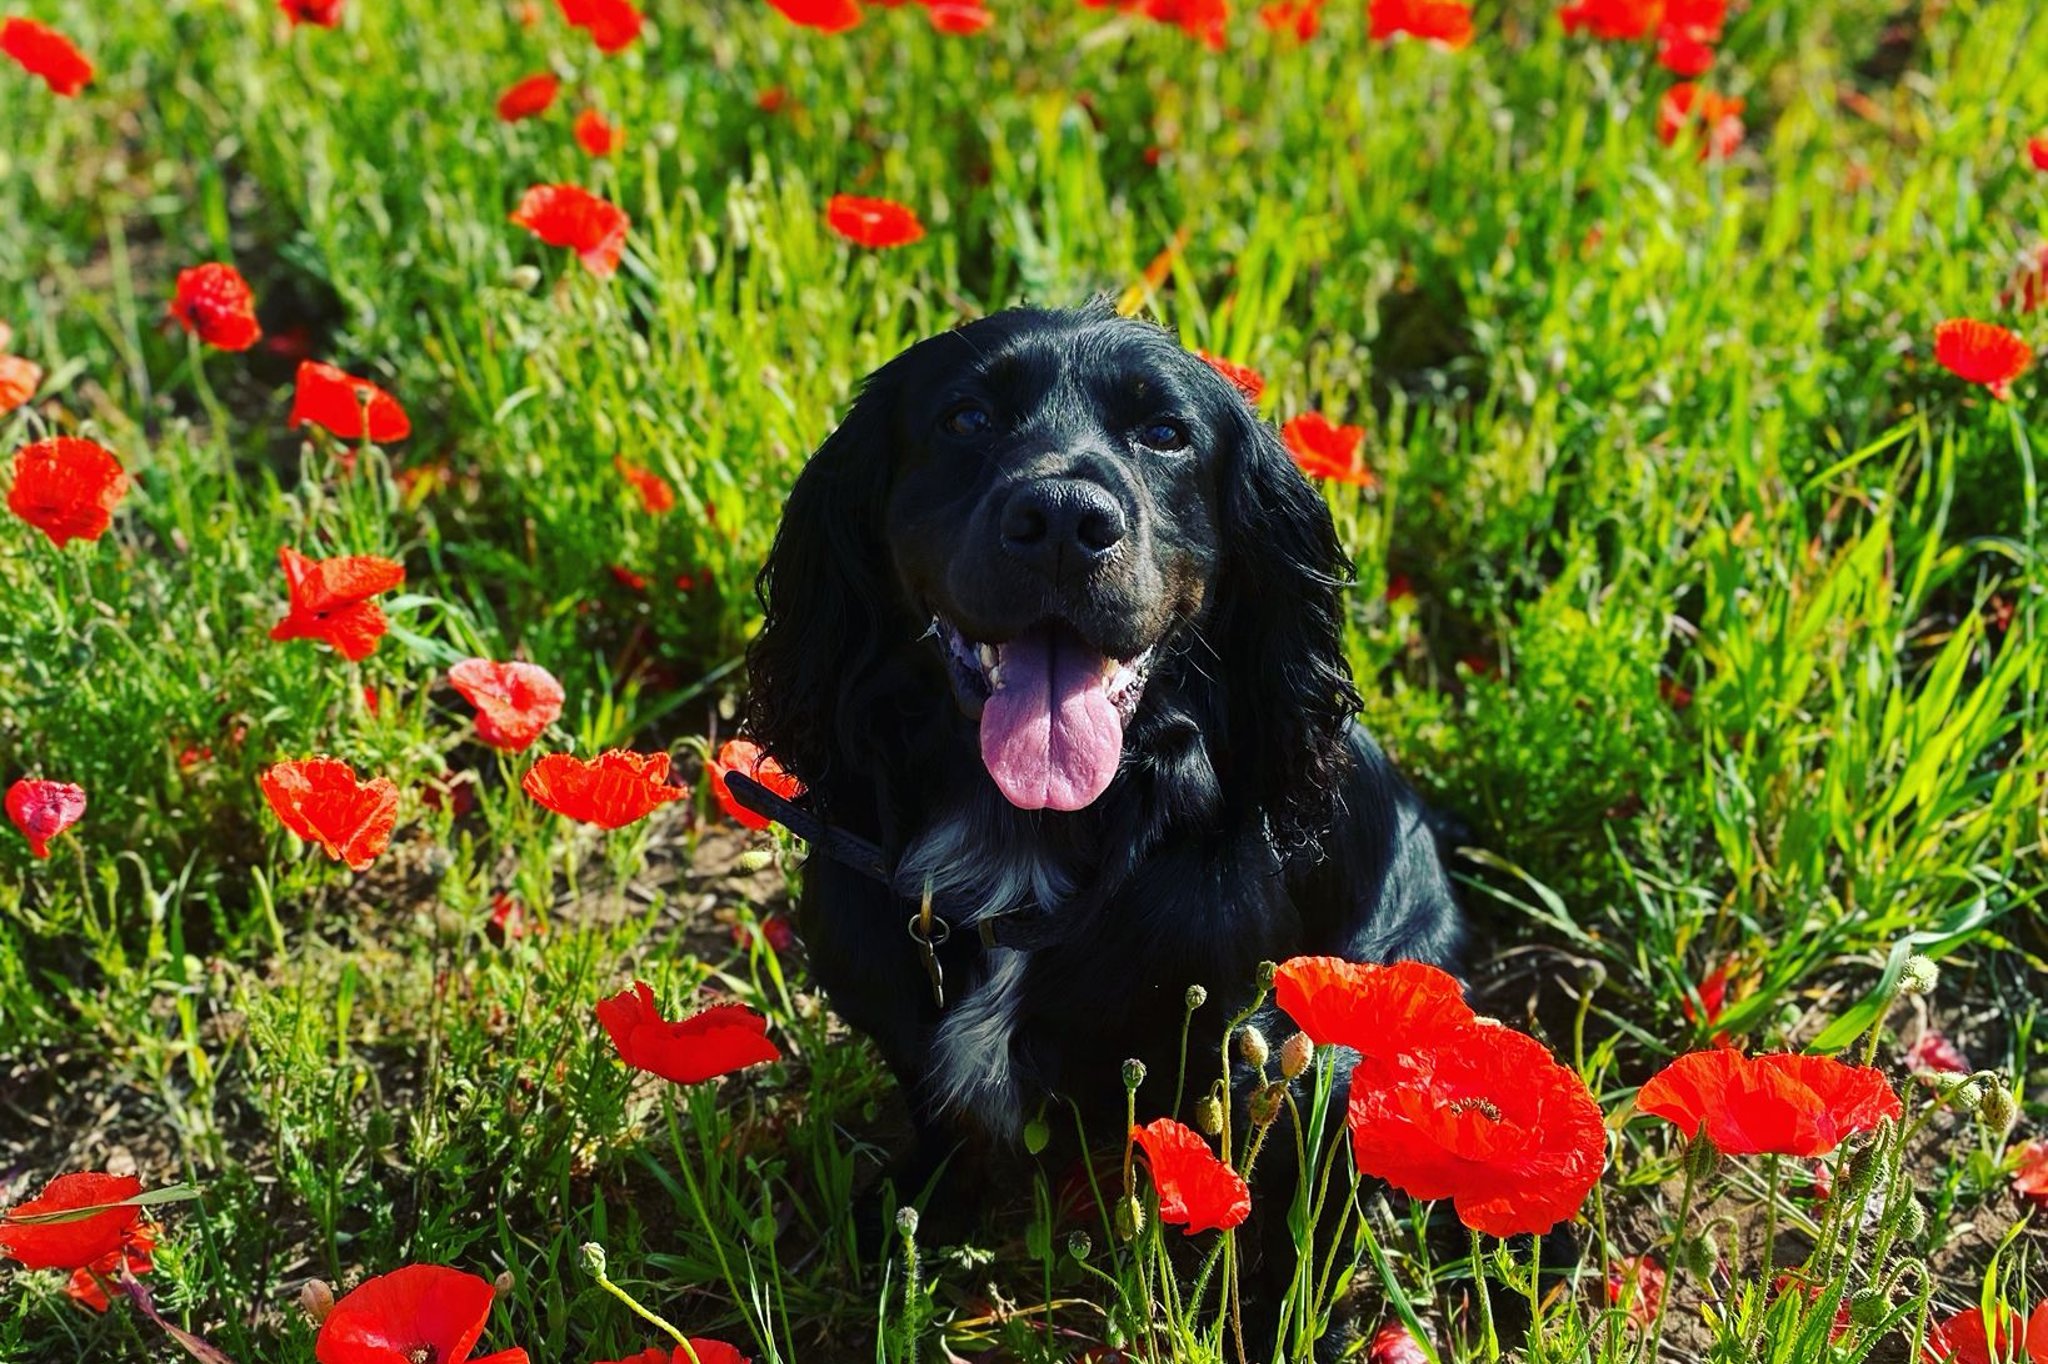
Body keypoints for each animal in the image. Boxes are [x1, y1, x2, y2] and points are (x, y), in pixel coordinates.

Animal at [742, 301, 1463, 1321]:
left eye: (1164, 433)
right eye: (965, 418)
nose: (1062, 521)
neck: (1027, 841)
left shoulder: (1265, 1052)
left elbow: (1282, 1213)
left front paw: (1271, 1313)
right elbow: (936, 1113)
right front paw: (910, 1220)